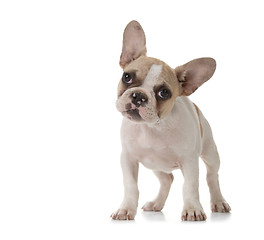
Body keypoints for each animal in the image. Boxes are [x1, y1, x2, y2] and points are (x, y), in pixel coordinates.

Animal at [110, 20, 230, 221]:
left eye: (164, 93)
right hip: (154, 164)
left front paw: (192, 209)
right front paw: (126, 209)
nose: (139, 96)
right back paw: (156, 203)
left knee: (212, 176)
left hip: (210, 152)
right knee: (167, 179)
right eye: (127, 77)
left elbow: (190, 186)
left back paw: (219, 202)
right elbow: (131, 186)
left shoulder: (190, 161)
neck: (152, 128)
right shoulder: (128, 158)